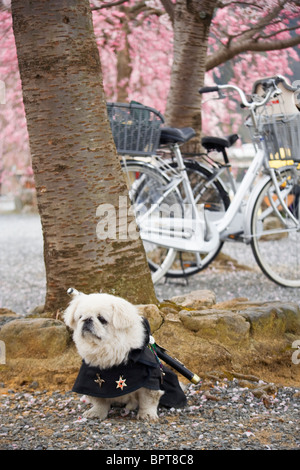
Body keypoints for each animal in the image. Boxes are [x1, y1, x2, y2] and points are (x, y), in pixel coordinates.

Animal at [64, 288, 165, 420]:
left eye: (101, 319)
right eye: (80, 317)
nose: (87, 319)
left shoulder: (150, 380)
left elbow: (148, 400)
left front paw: (147, 414)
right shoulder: (91, 381)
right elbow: (99, 400)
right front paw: (96, 412)